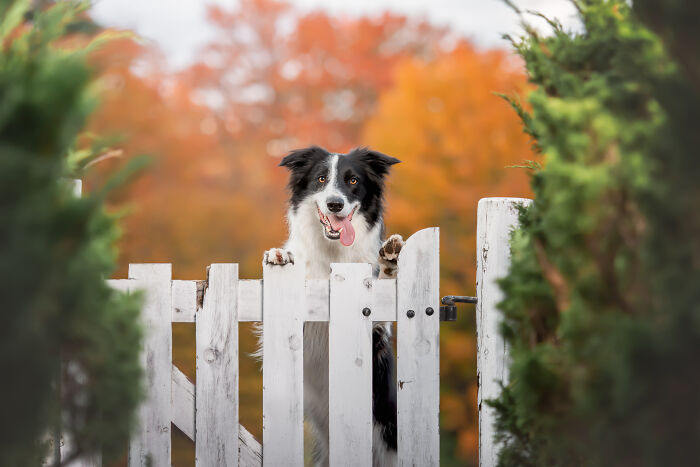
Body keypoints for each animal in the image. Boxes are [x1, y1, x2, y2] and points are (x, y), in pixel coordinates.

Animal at [262, 146, 404, 467]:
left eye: (353, 181)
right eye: (321, 178)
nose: (335, 204)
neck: (333, 253)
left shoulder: (377, 337)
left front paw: (389, 263)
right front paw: (280, 254)